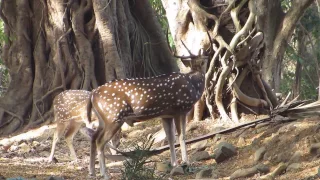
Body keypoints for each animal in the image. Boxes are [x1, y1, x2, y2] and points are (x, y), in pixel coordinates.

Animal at [87, 48, 208, 179]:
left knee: (93, 138)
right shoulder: (179, 109)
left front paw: (174, 164)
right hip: (113, 118)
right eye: (204, 59)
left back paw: (92, 172)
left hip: (103, 120)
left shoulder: (166, 115)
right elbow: (181, 136)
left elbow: (170, 138)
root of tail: (92, 94)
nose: (208, 53)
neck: (193, 85)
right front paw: (185, 163)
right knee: (100, 142)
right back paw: (105, 174)